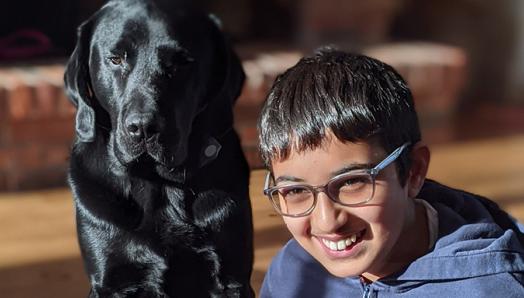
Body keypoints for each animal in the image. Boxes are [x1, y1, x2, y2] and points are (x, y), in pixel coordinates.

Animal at [62, 1, 255, 296]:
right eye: (116, 59)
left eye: (182, 63)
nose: (142, 127)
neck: (158, 184)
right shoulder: (110, 281)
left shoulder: (232, 279)